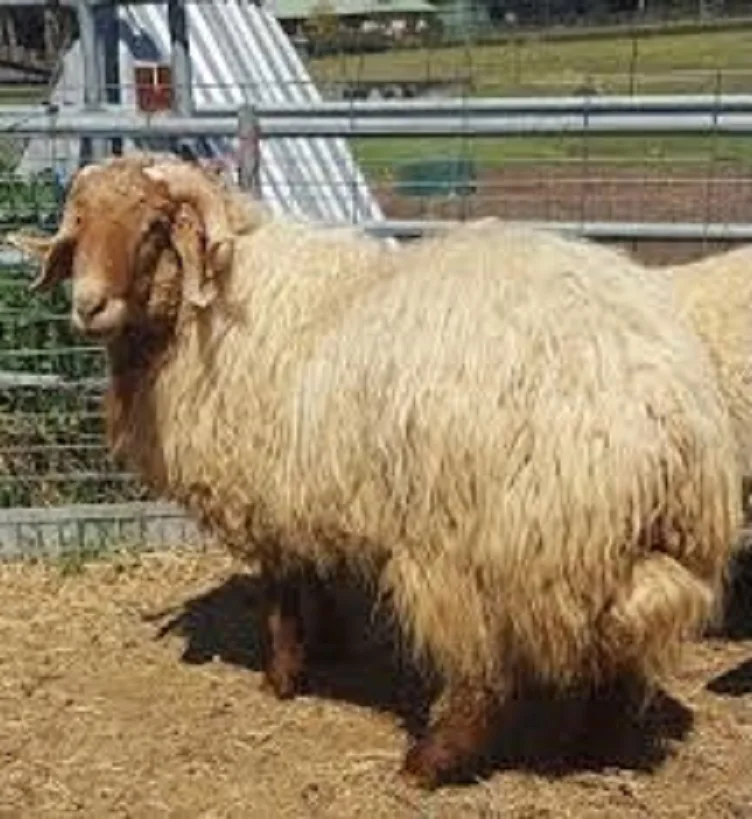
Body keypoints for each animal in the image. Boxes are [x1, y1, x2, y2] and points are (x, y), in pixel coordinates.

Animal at [6, 154, 742, 789]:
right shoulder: (311, 487)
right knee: (616, 657)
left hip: (475, 549)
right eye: (78, 224)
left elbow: (281, 591)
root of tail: (657, 415)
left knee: (482, 679)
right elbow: (319, 571)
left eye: (154, 227)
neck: (211, 306)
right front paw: (331, 642)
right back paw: (590, 748)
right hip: (622, 557)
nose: (88, 306)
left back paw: (427, 763)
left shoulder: (265, 485)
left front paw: (282, 677)